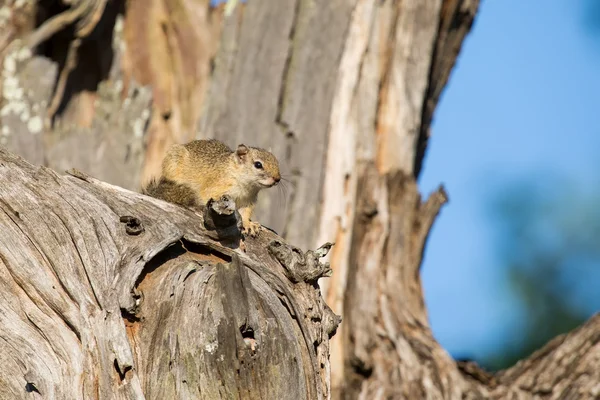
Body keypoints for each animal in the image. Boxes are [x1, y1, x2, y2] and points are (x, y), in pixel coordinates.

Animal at [144, 139, 282, 236]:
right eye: (258, 165)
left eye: (277, 162)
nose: (277, 179)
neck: (245, 185)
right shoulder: (215, 188)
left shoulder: (248, 201)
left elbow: (245, 213)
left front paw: (249, 224)